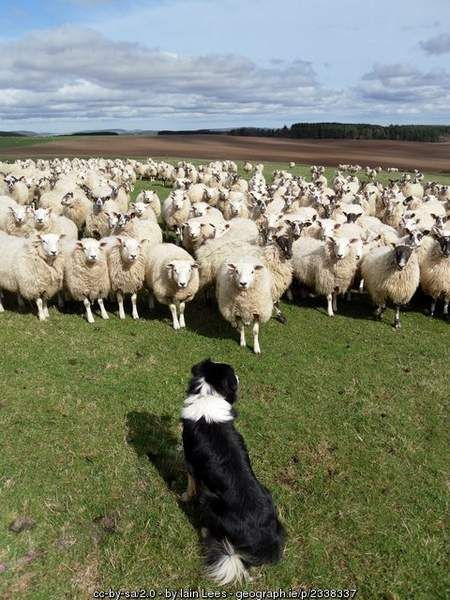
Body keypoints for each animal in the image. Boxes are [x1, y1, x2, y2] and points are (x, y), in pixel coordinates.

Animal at [180, 358, 284, 584]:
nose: (239, 376)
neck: (208, 392)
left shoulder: (190, 462)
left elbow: (191, 484)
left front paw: (184, 496)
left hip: (210, 500)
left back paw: (205, 531)